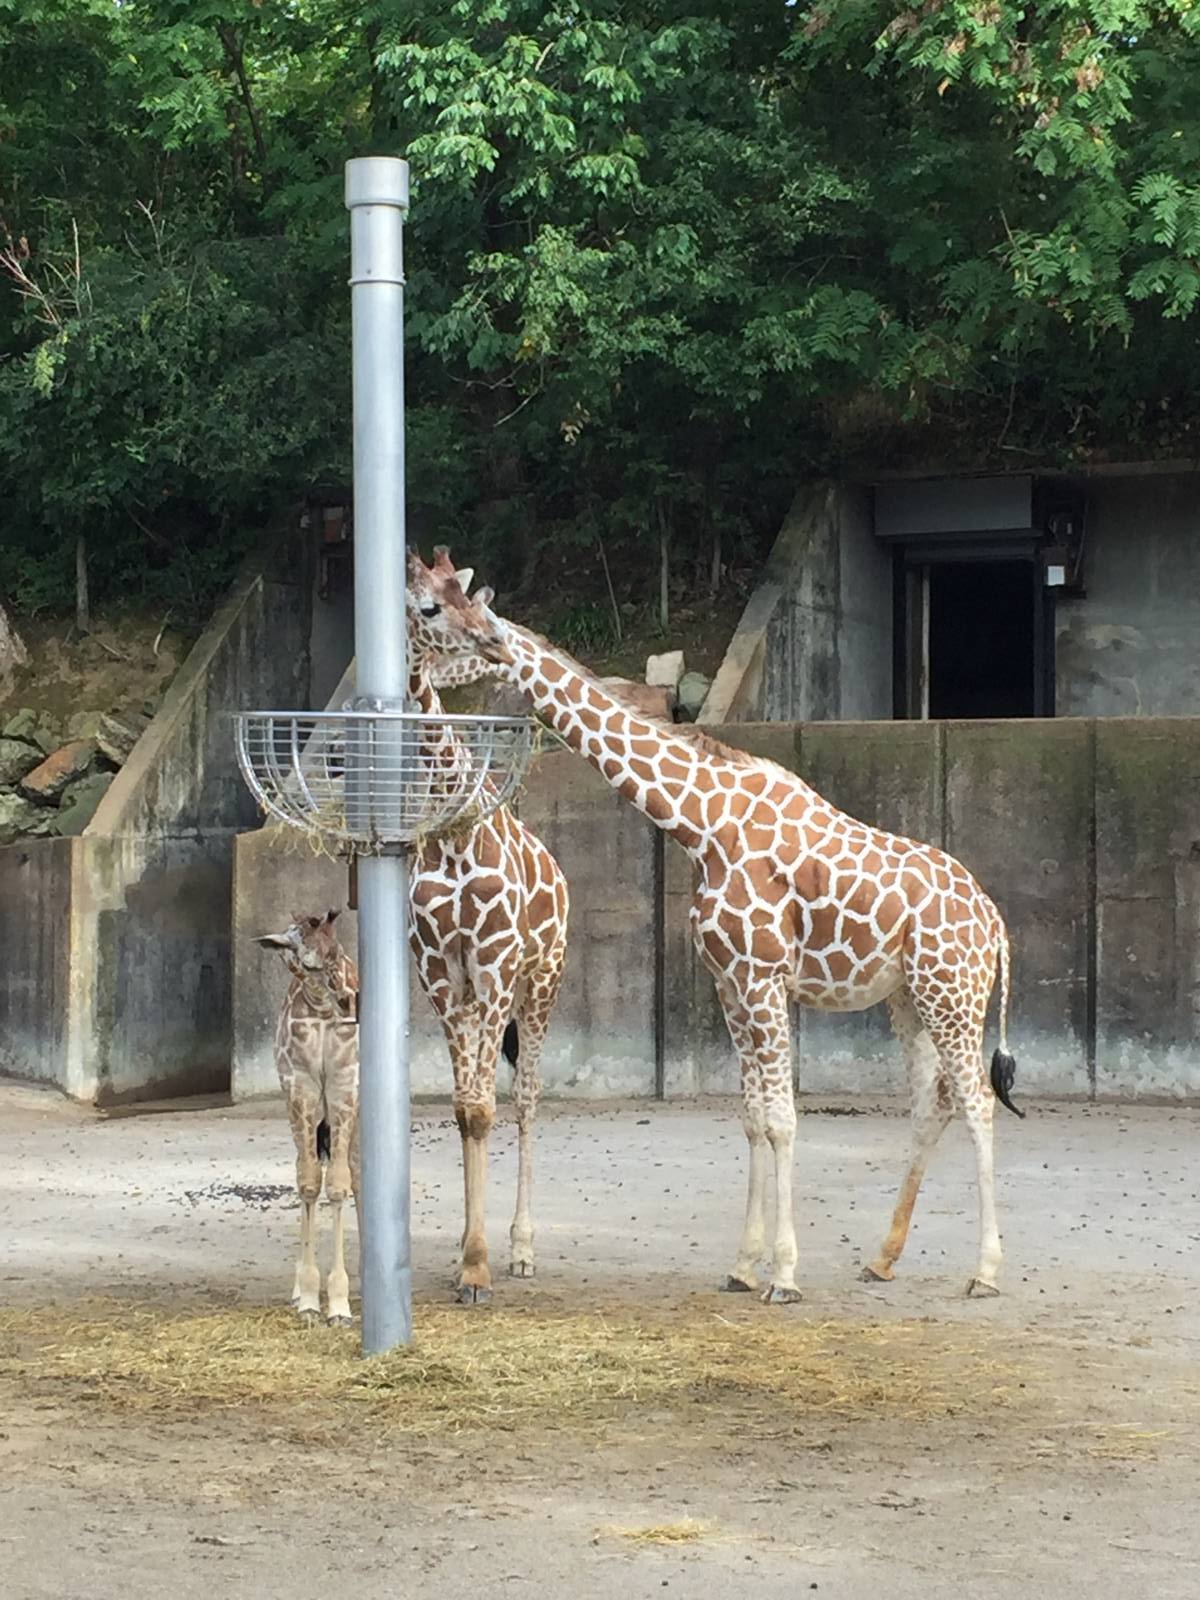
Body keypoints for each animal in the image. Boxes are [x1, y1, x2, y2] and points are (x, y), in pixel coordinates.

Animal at [254, 910, 361, 1325]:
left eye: (337, 951)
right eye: (304, 962)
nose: (348, 1000)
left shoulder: (345, 1091)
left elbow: (339, 1186)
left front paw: (341, 1305)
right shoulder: (301, 1092)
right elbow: (310, 1183)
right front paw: (312, 1299)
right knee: (306, 1170)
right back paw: (300, 1290)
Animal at [411, 558, 1025, 1303]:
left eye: (456, 620)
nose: (440, 672)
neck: (702, 823)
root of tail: (994, 922)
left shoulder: (763, 979)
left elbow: (784, 1120)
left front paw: (784, 1276)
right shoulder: (731, 984)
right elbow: (755, 1119)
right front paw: (743, 1266)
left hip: (953, 994)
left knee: (978, 1102)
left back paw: (986, 1272)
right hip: (909, 997)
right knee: (931, 1102)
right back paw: (883, 1257)